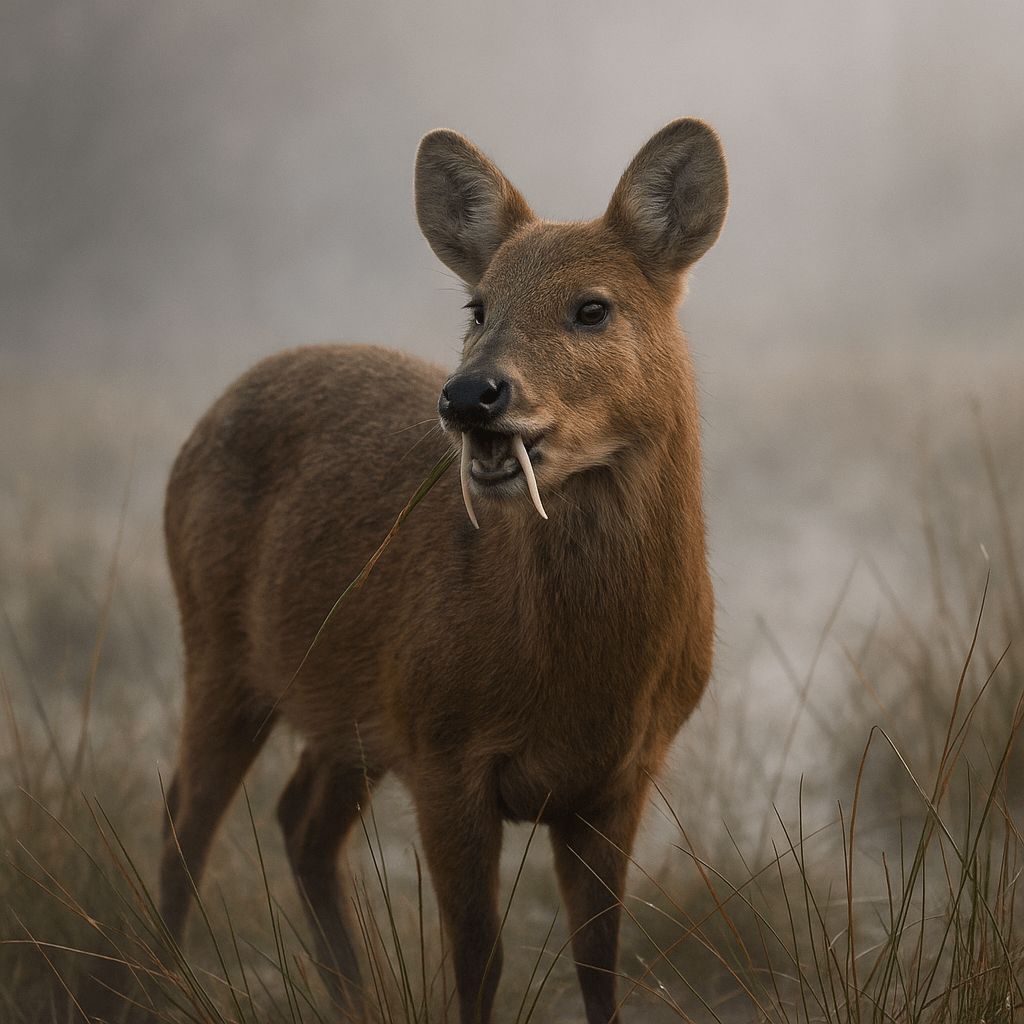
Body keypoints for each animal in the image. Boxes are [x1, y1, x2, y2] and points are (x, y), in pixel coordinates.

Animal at [159, 117, 728, 1024]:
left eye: (592, 308)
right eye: (477, 306)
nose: (470, 395)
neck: (586, 675)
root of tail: (208, 416)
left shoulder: (623, 776)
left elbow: (600, 966)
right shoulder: (443, 752)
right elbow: (477, 960)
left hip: (348, 706)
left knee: (297, 819)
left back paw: (352, 998)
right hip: (217, 645)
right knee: (186, 821)